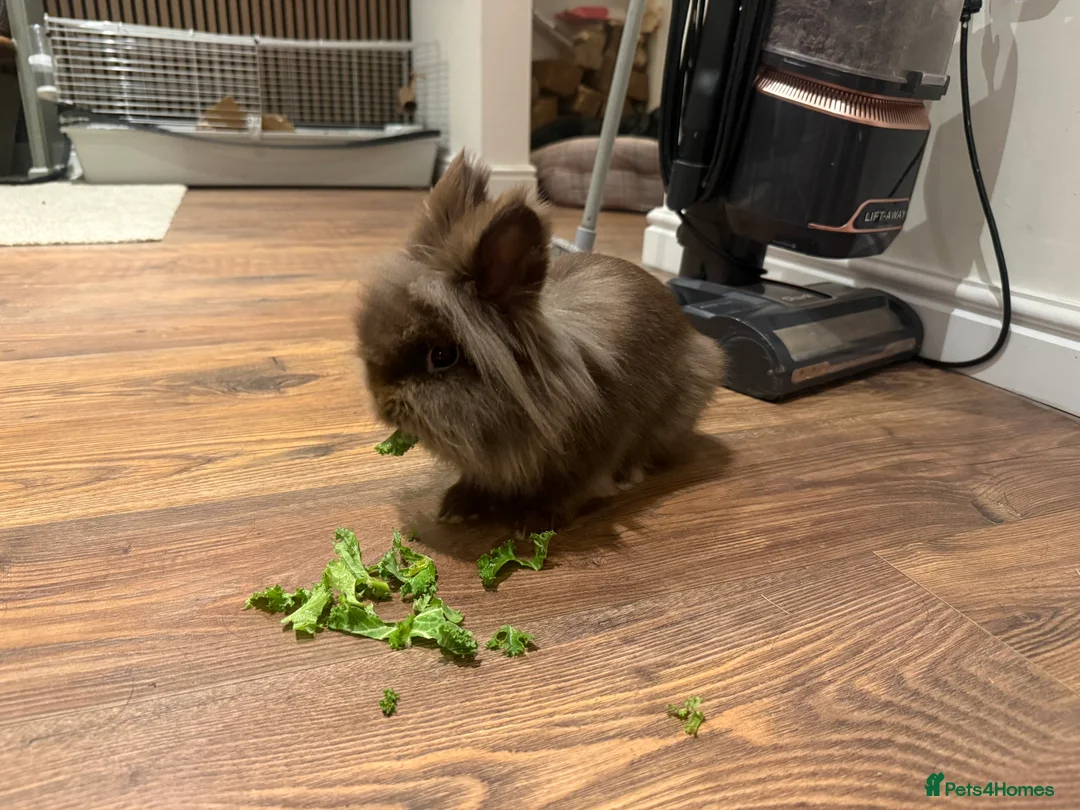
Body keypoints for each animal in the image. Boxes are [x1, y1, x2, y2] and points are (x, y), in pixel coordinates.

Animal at [354, 151, 724, 528]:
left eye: (441, 356)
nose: (383, 403)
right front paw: (458, 506)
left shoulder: (595, 450)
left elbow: (570, 488)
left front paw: (533, 521)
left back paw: (628, 475)